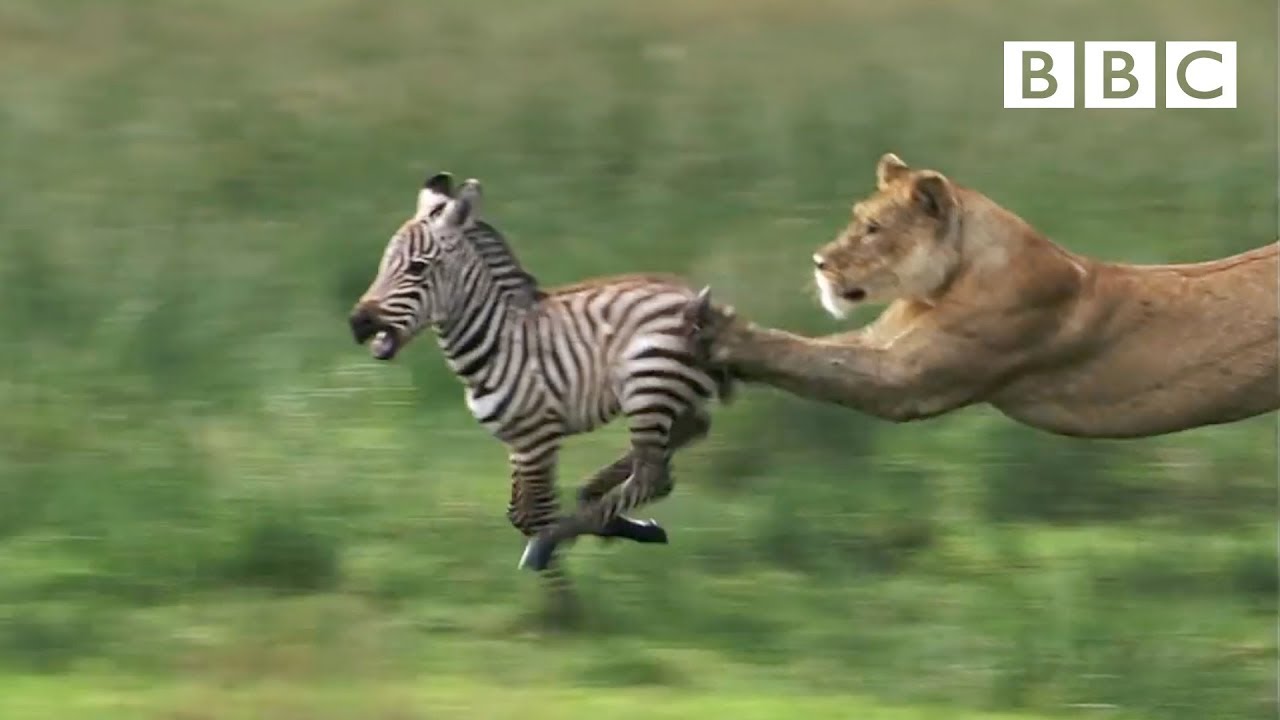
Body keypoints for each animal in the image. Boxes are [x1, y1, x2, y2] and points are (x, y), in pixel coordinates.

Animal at [347, 171, 733, 577]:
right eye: (384, 264)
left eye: (417, 268)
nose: (358, 323)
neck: (499, 341)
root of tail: (697, 297)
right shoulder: (518, 444)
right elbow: (519, 513)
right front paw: (611, 526)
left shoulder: (537, 439)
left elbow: (533, 517)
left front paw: (559, 544)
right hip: (667, 392)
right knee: (687, 433)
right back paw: (598, 493)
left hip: (648, 387)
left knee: (655, 472)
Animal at [686, 153, 1279, 439]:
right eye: (856, 217)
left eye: (873, 228)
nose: (819, 262)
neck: (941, 284)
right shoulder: (884, 337)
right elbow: (813, 349)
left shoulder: (910, 379)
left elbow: (812, 359)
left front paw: (721, 330)